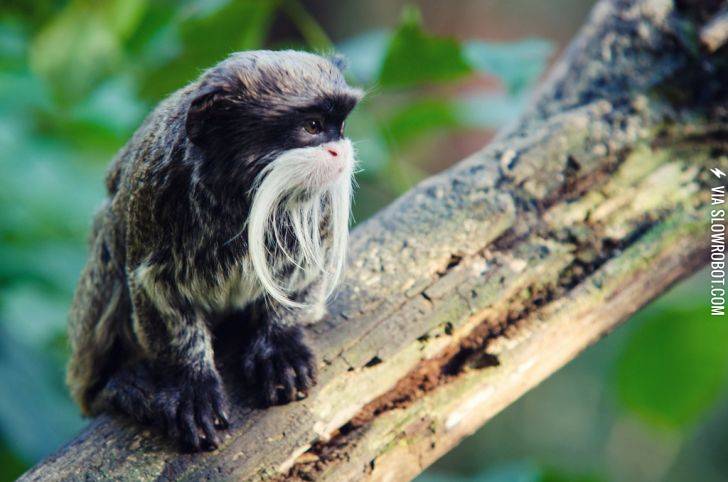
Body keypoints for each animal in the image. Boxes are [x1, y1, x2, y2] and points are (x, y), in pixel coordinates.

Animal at [66, 50, 363, 452]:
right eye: (313, 126)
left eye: (340, 126)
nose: (340, 151)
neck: (239, 195)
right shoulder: (154, 194)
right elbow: (152, 290)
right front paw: (191, 382)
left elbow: (303, 278)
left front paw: (280, 346)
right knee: (110, 235)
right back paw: (114, 384)